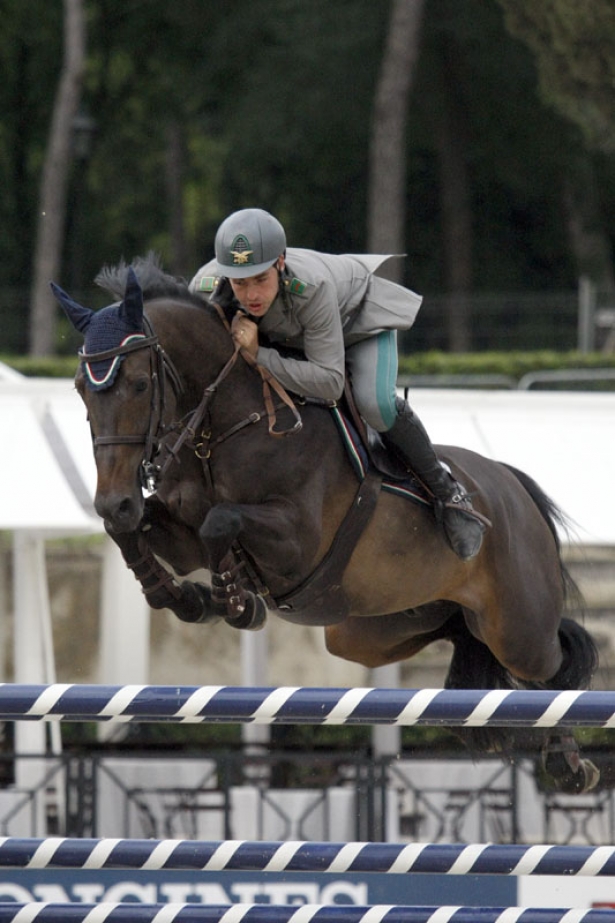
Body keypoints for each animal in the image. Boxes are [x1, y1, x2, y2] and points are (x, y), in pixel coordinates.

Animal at [53, 254, 600, 796]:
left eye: (140, 384)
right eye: (81, 389)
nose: (114, 501)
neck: (221, 427)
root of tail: (511, 481)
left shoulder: (297, 542)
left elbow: (220, 521)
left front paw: (235, 601)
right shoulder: (179, 532)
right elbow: (141, 535)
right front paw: (186, 598)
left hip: (517, 630)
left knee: (553, 663)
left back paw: (568, 760)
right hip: (371, 630)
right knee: (459, 633)